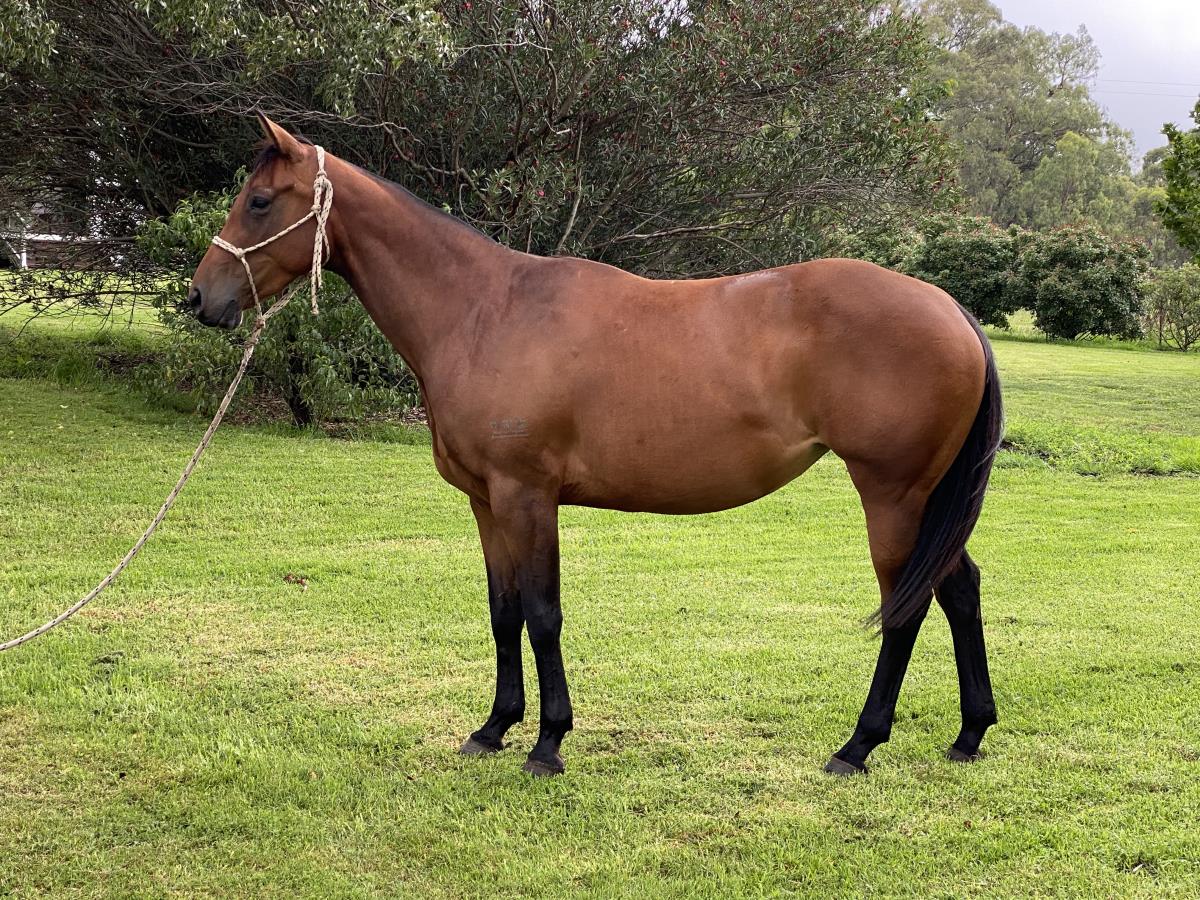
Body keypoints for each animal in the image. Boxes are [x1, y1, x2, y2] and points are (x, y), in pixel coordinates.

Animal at [188, 115, 1003, 777]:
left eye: (260, 201)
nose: (200, 298)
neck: (484, 312)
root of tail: (951, 309)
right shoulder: (487, 502)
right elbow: (504, 612)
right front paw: (494, 729)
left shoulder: (527, 494)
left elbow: (543, 613)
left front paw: (548, 743)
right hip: (924, 502)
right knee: (959, 590)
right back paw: (969, 735)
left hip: (892, 497)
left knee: (906, 609)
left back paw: (858, 746)